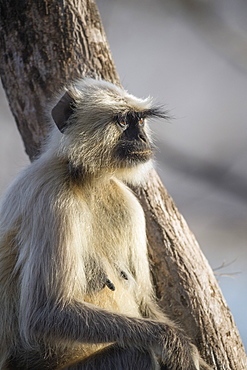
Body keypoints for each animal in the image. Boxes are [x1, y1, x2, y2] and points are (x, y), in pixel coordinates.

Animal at [0, 76, 210, 368]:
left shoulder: (129, 205)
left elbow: (145, 302)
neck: (87, 180)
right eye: (122, 121)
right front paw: (176, 343)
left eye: (140, 121)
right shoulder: (50, 196)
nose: (142, 137)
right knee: (138, 353)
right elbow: (46, 312)